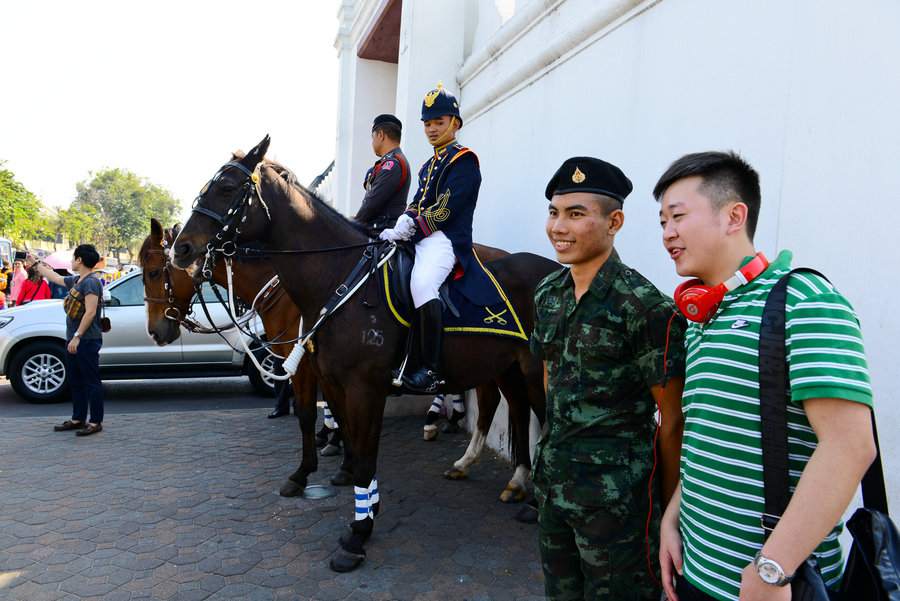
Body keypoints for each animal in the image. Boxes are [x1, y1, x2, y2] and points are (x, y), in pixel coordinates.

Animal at [169, 136, 556, 572]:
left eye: (227, 188)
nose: (181, 249)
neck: (339, 278)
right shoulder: (335, 384)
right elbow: (351, 445)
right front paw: (363, 509)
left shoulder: (364, 389)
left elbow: (363, 457)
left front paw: (357, 535)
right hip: (507, 368)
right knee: (518, 414)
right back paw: (515, 483)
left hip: (537, 372)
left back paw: (534, 501)